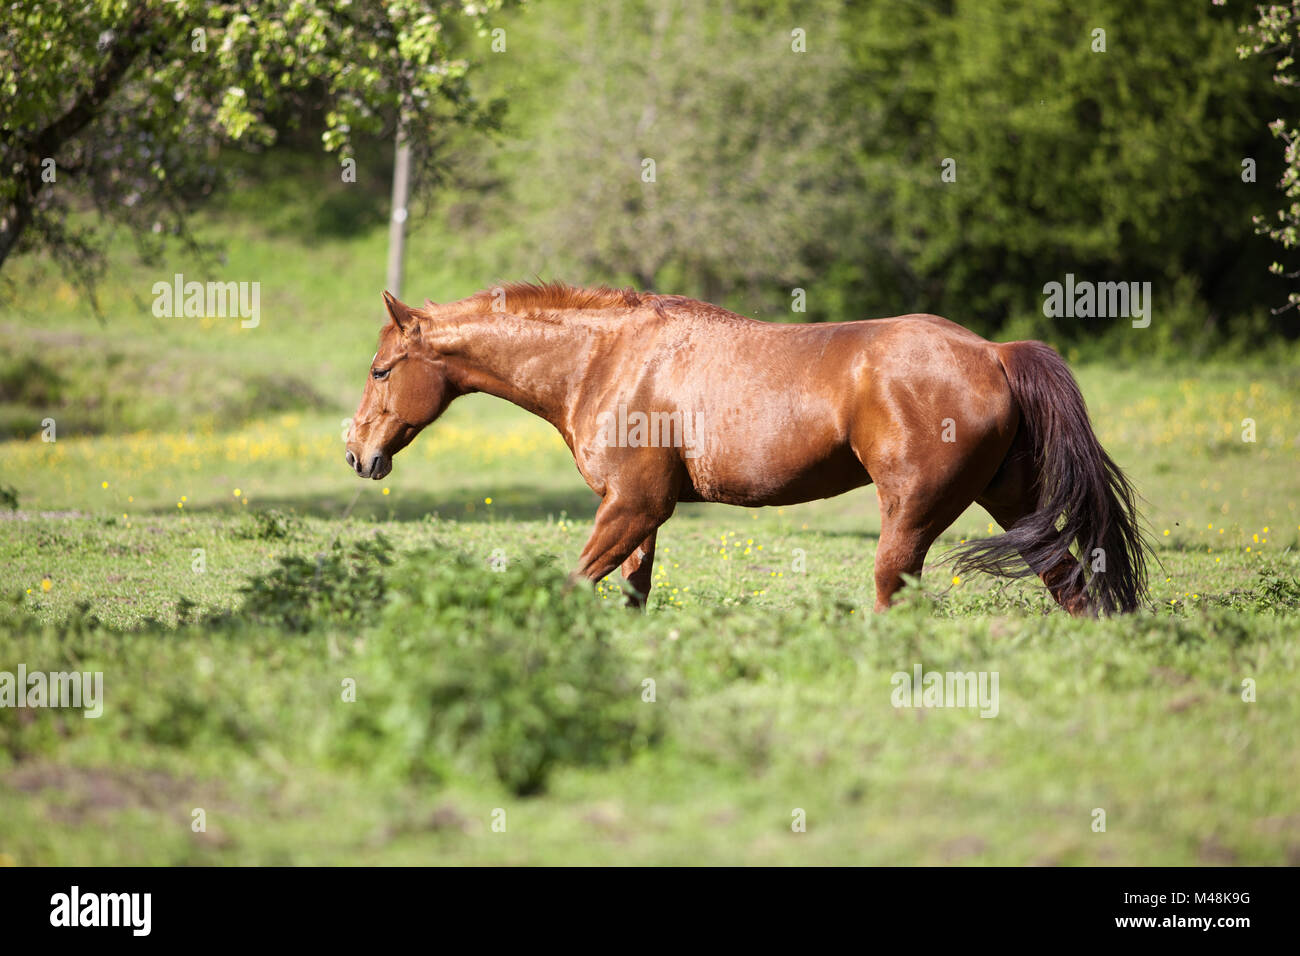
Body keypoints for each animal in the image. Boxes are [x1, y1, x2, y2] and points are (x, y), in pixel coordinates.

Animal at [345, 280, 1149, 616]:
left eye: (381, 370)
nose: (357, 454)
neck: (606, 360)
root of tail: (994, 353)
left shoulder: (631, 506)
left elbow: (574, 583)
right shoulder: (641, 515)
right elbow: (634, 593)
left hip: (916, 511)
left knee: (897, 593)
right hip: (1009, 501)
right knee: (1072, 586)